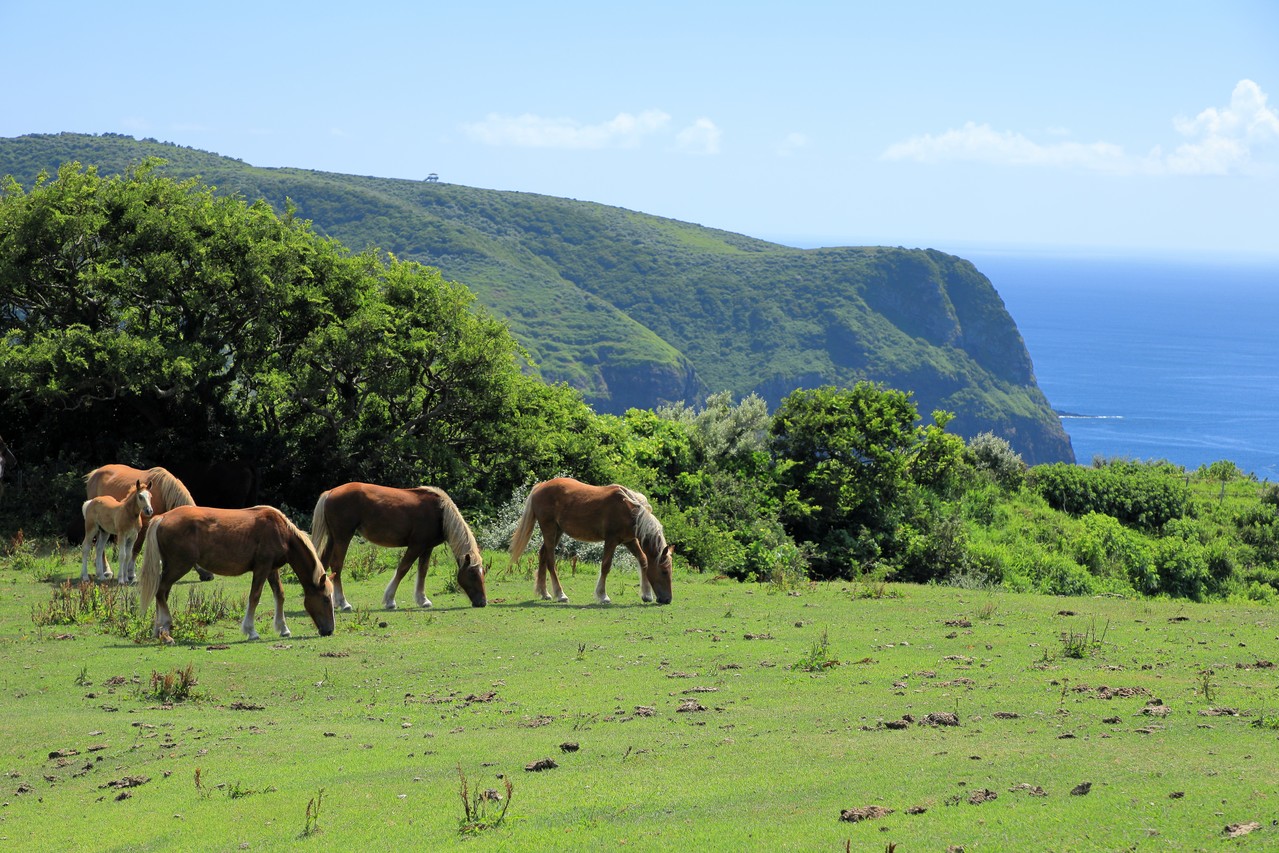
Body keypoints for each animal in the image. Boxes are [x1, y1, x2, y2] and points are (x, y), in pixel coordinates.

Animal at [86, 468, 214, 580]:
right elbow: (136, 549)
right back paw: (106, 571)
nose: (210, 576)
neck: (163, 493)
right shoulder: (144, 526)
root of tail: (95, 473)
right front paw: (131, 573)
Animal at [138, 506, 335, 639]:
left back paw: (159, 630)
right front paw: (251, 630)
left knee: (162, 593)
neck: (281, 531)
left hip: (172, 566)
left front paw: (283, 628)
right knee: (161, 591)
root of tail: (162, 517)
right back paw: (165, 628)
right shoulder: (262, 567)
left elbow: (280, 595)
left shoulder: (272, 569)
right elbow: (254, 596)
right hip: (179, 566)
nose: (330, 630)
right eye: (326, 599)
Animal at [312, 483, 486, 611]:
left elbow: (423, 571)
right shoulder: (416, 546)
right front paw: (390, 600)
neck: (440, 512)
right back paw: (343, 603)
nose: (483, 602)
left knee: (324, 563)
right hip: (343, 537)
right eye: (472, 574)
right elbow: (403, 569)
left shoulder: (427, 547)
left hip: (333, 538)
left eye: (483, 573)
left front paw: (423, 600)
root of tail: (330, 492)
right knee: (337, 565)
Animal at [506, 478, 675, 603]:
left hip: (557, 531)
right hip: (549, 528)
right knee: (550, 561)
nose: (667, 599)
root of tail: (540, 486)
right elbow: (606, 566)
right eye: (664, 571)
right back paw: (560, 594)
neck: (629, 509)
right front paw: (602, 595)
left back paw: (544, 593)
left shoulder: (630, 540)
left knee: (542, 555)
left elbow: (643, 561)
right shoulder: (611, 540)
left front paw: (646, 595)